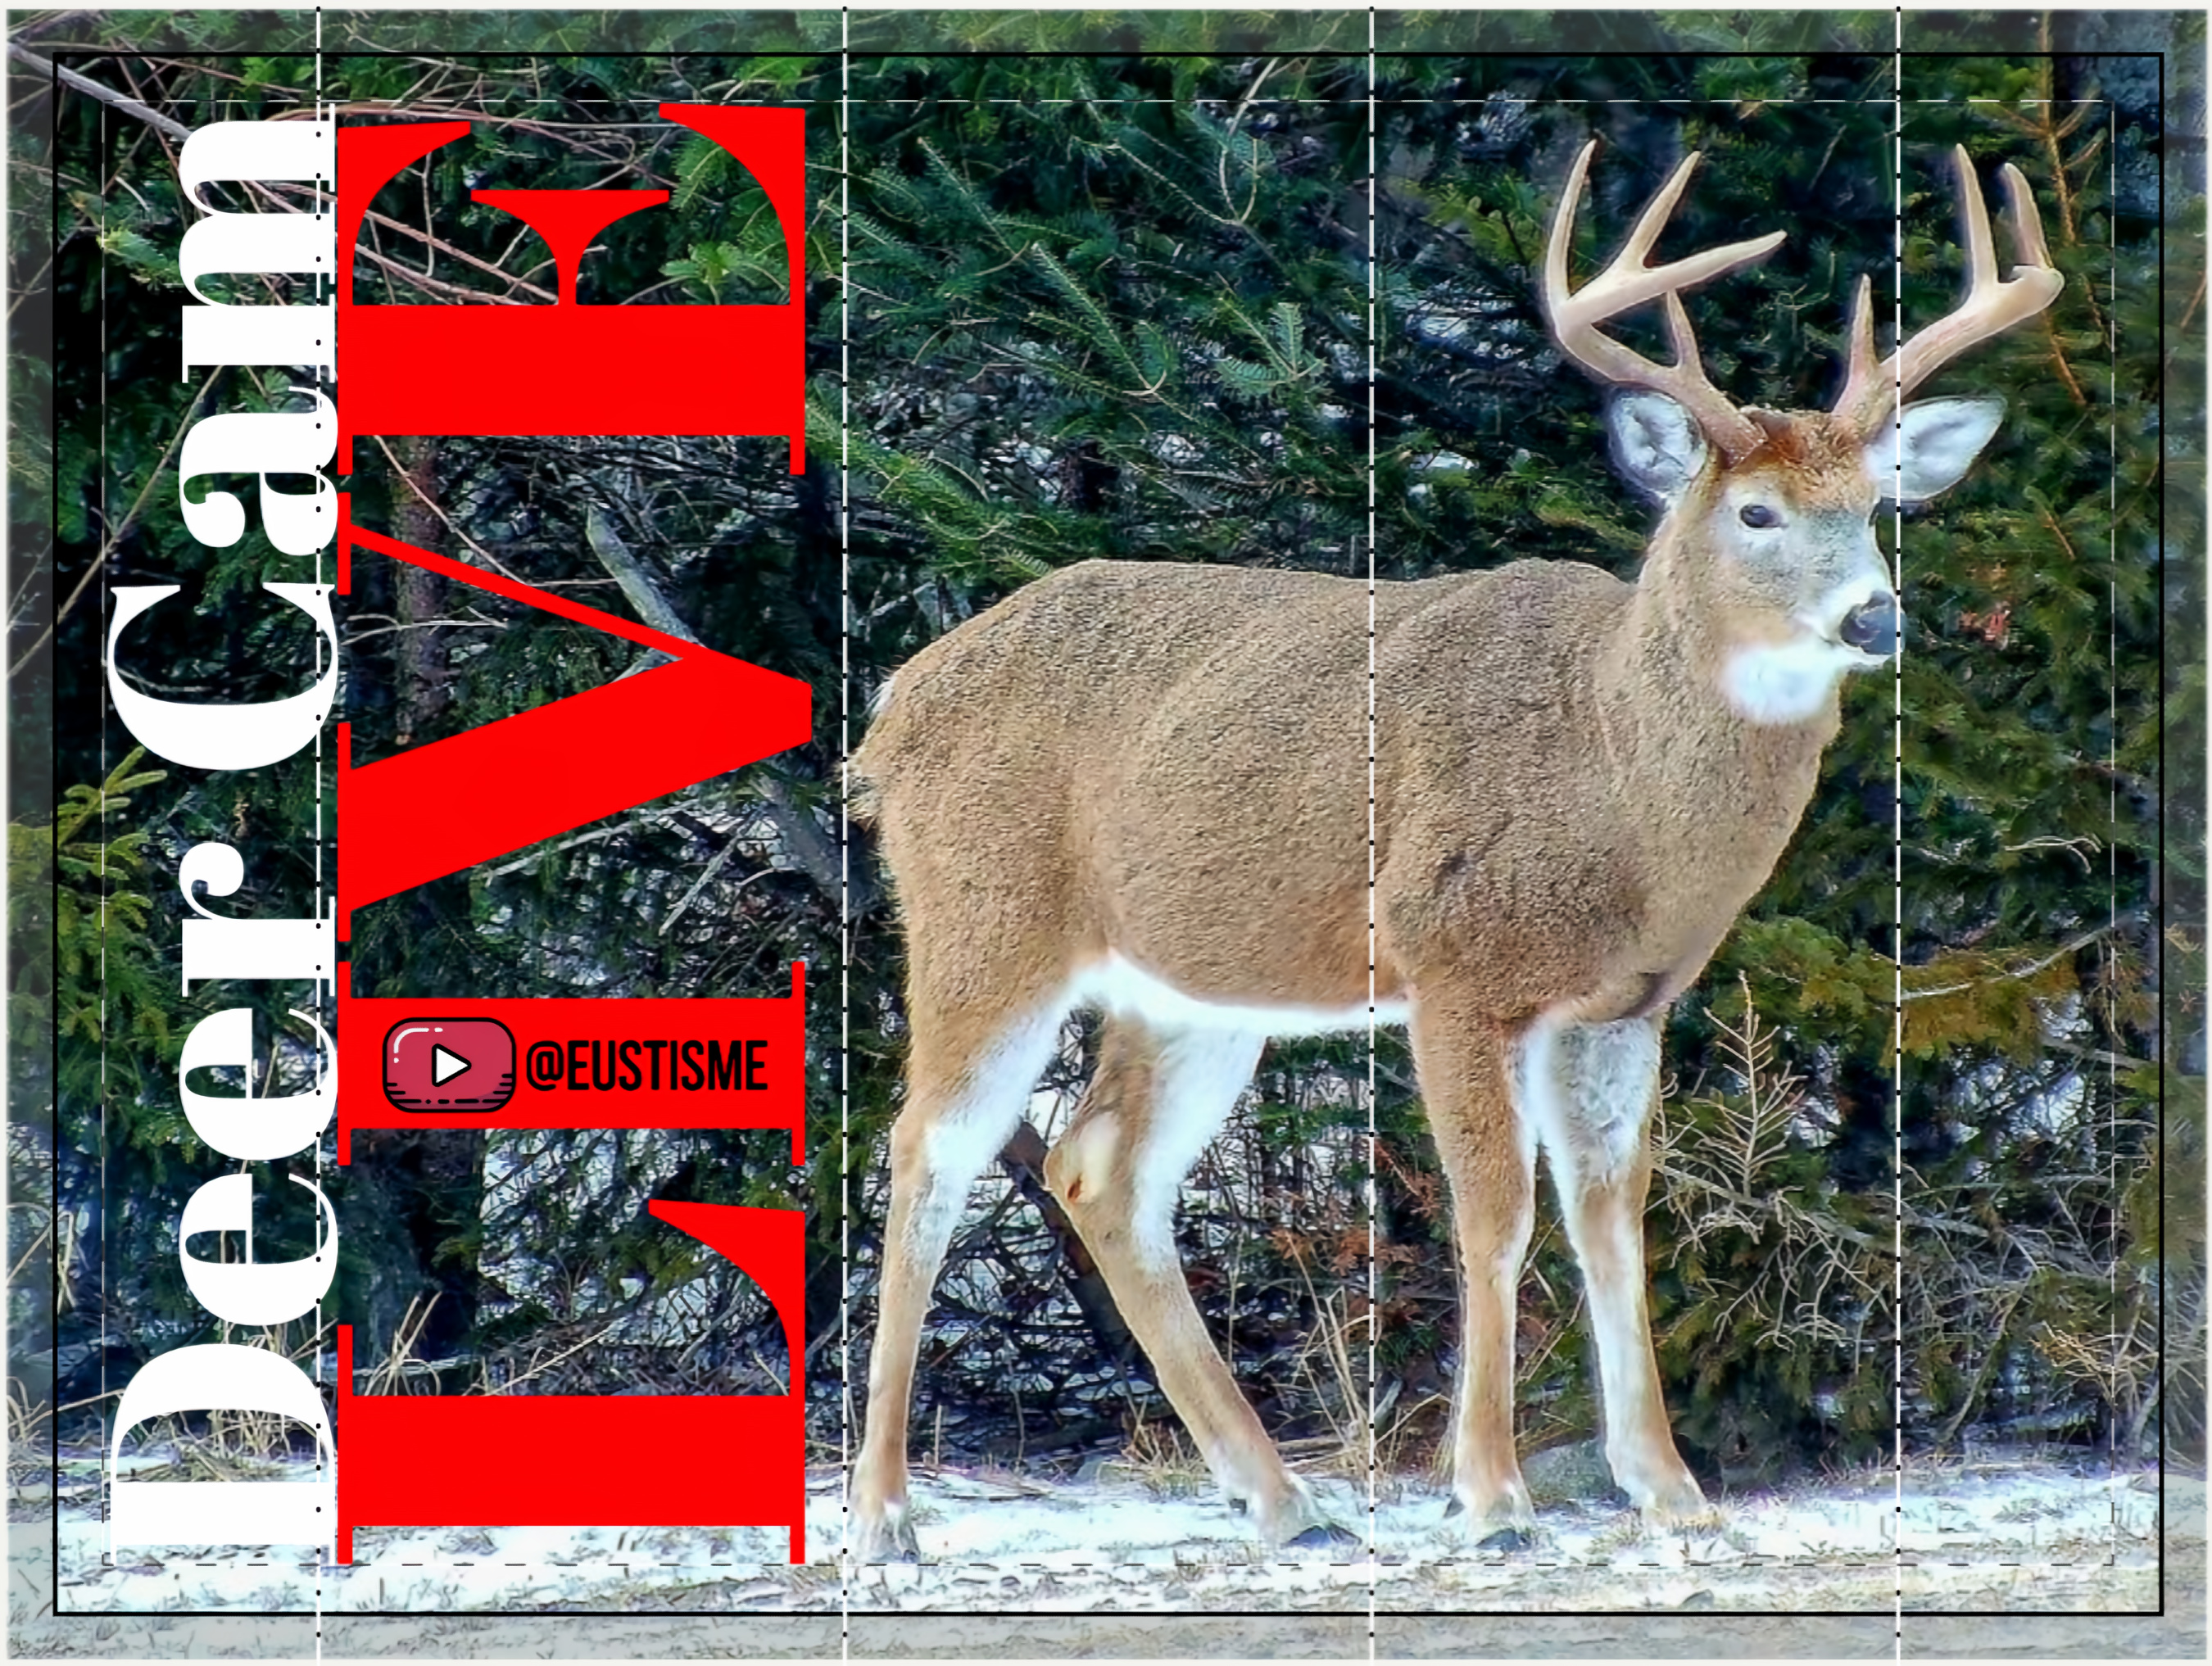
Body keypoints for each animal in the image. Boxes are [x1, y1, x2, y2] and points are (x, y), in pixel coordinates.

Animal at [847, 141, 2061, 1560]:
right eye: (1757, 514)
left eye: (1874, 505)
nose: (1875, 616)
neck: (1615, 782)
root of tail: (893, 708)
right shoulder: (1454, 966)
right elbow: (1496, 1216)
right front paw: (1490, 1493)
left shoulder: (1623, 1004)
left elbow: (1611, 1220)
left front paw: (1671, 1487)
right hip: (986, 921)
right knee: (927, 1154)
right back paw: (884, 1512)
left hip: (1199, 987)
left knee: (1101, 1172)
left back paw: (1285, 1498)